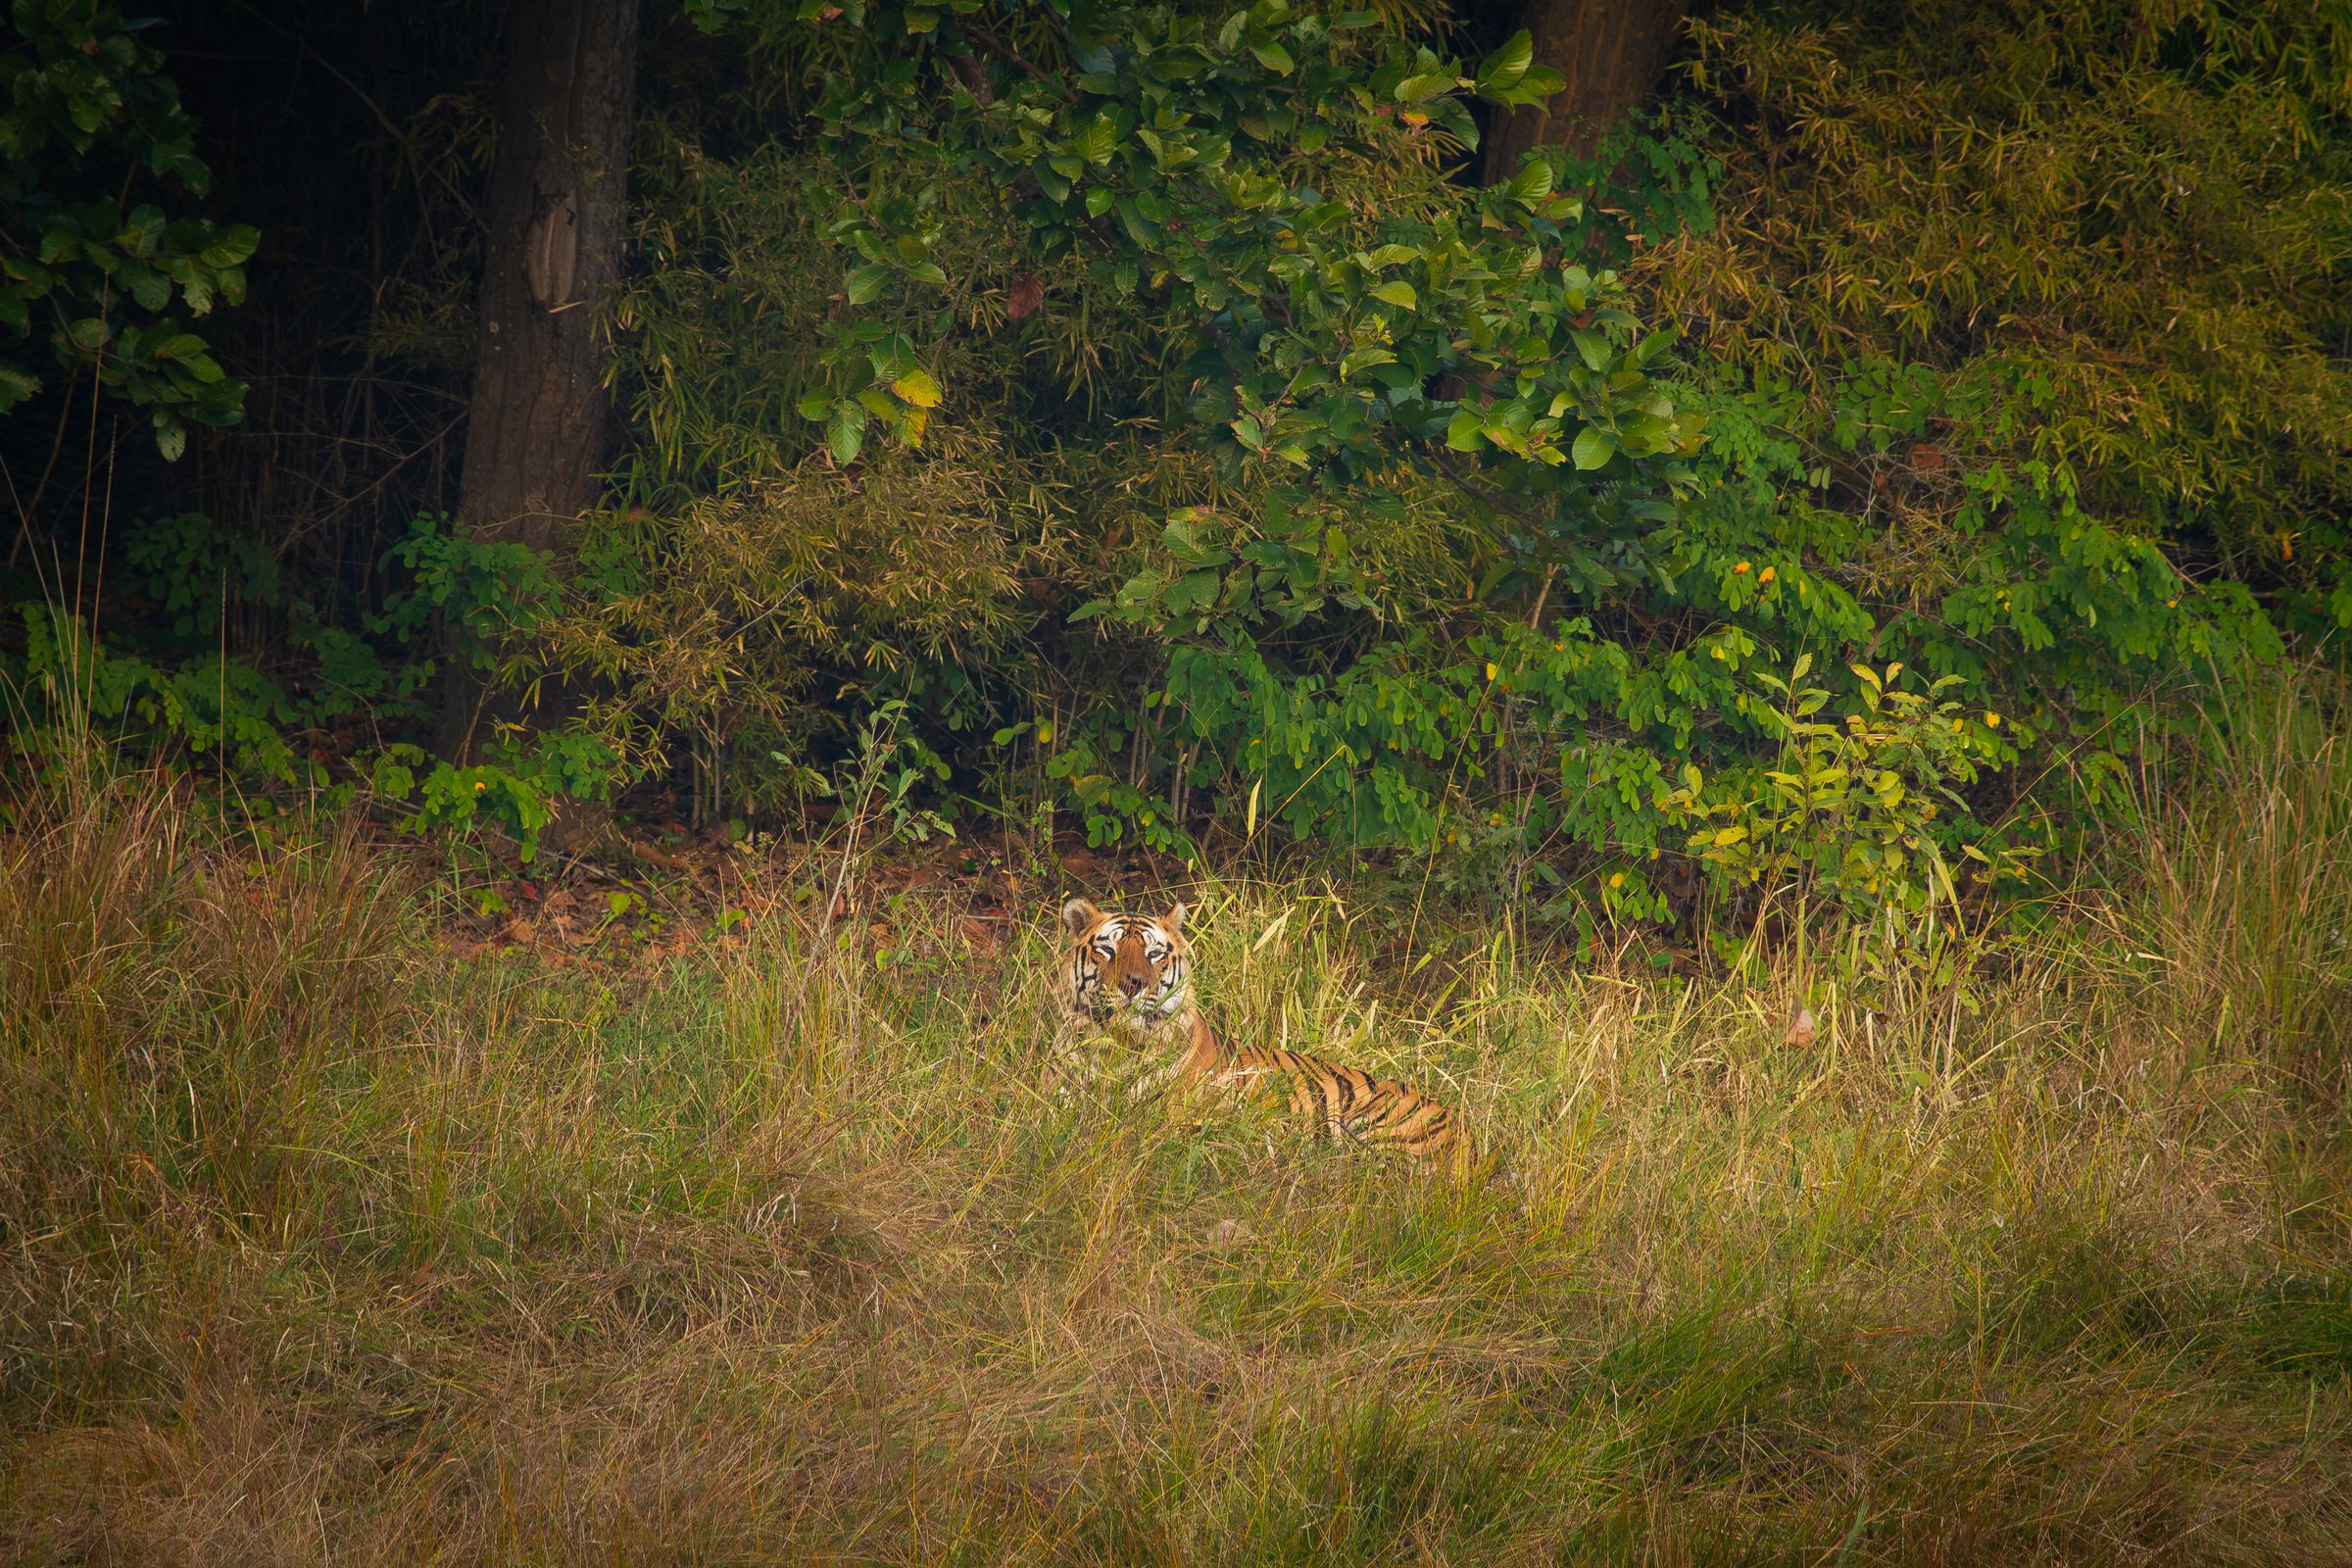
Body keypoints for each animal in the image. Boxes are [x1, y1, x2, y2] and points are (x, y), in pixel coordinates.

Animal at [1054, 896, 1472, 1178]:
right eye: (1107, 949)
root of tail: (1465, 1132)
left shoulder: (1165, 1118)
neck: (1119, 1048)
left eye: (1155, 954)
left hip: (1380, 1128)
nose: (1133, 984)